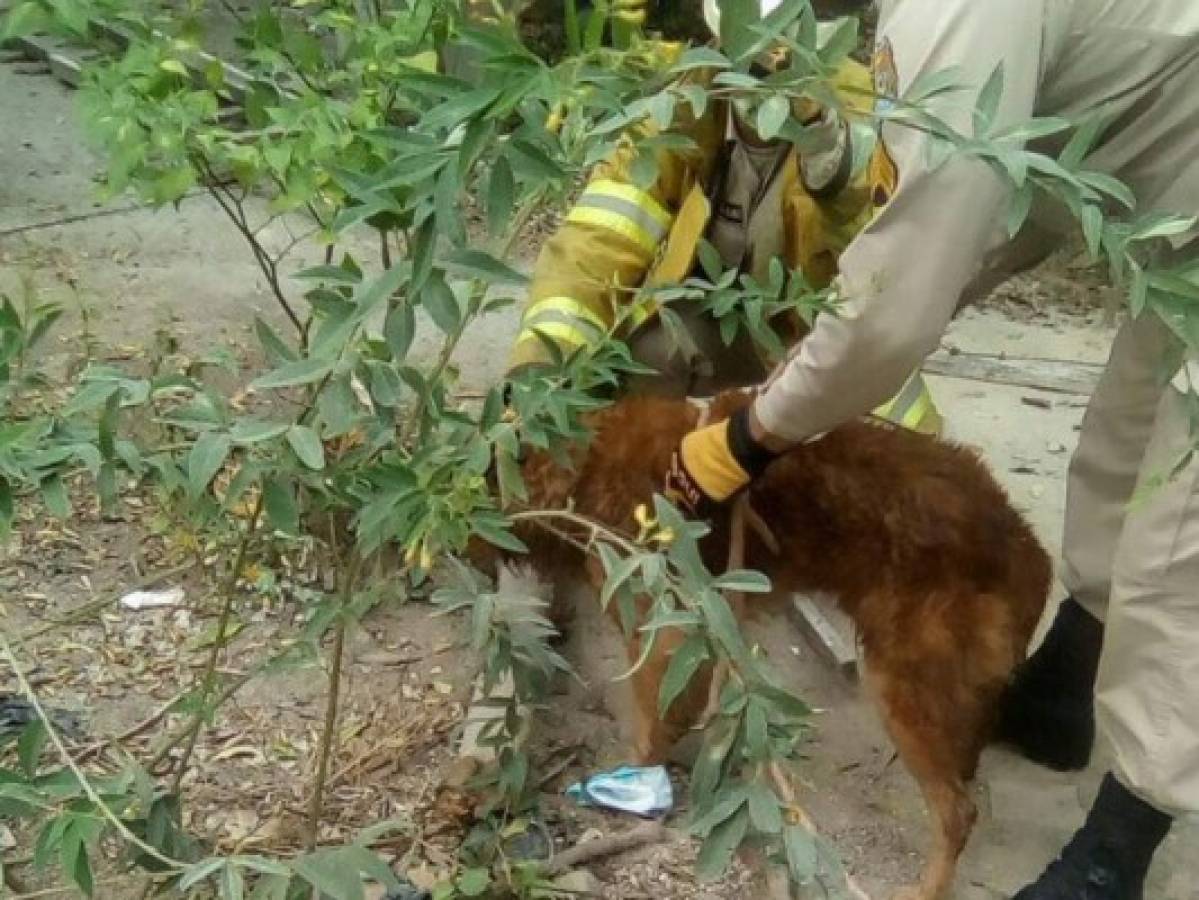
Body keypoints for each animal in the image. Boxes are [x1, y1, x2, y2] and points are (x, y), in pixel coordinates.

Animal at [508, 393, 1050, 900]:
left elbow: (652, 723)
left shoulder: (662, 621)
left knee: (959, 810)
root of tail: (1026, 546)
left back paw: (927, 887)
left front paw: (632, 783)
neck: (585, 459)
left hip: (905, 688)